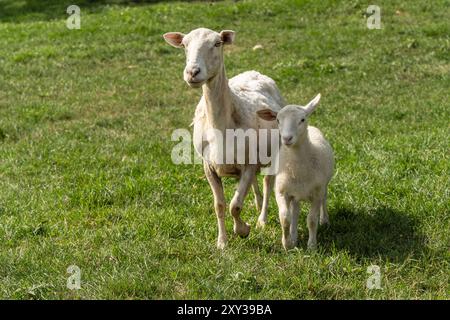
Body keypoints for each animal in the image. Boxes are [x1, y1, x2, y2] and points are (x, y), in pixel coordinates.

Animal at [163, 27, 284, 249]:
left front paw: (243, 230)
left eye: (217, 43)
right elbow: (219, 205)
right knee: (255, 184)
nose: (192, 72)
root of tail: (254, 72)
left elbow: (234, 205)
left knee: (267, 183)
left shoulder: (248, 164)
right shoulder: (209, 166)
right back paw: (256, 204)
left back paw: (261, 219)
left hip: (274, 153)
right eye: (184, 45)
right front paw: (222, 242)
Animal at [256, 94, 334, 250]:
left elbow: (311, 220)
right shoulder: (282, 192)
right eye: (278, 120)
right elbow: (285, 218)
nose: (287, 138)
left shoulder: (317, 193)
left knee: (323, 198)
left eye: (302, 119)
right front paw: (287, 244)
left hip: (321, 186)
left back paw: (324, 220)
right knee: (272, 193)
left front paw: (312, 246)